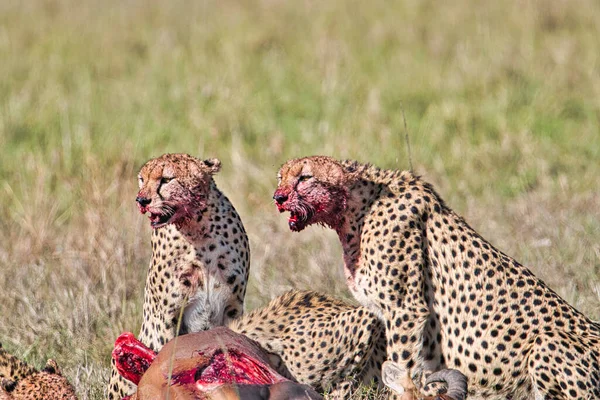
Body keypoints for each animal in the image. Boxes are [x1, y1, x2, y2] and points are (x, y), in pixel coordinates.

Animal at [106, 152, 250, 396]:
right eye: (142, 179)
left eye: (166, 179)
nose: (141, 200)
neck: (197, 230)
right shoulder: (165, 316)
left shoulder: (233, 308)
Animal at [276, 156, 600, 400]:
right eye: (280, 177)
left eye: (304, 178)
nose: (278, 197)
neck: (356, 206)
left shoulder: (405, 310)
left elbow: (401, 367)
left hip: (547, 341)